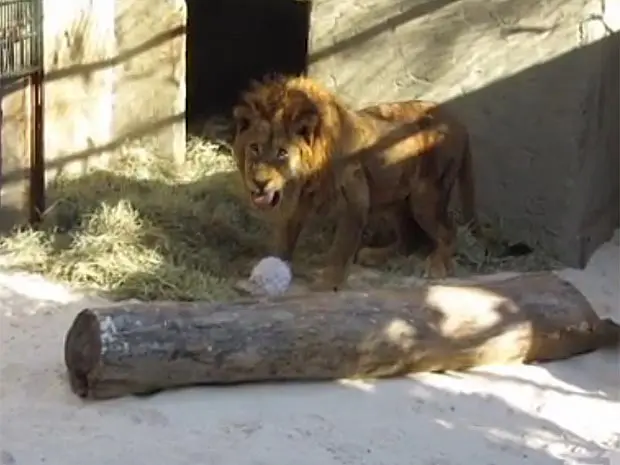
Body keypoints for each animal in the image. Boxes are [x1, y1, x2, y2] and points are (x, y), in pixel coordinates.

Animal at [230, 72, 492, 290]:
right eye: (254, 148)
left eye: (282, 153)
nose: (259, 182)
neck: (305, 176)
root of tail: (459, 123)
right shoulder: (298, 205)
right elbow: (284, 239)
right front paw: (271, 266)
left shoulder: (354, 199)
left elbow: (341, 247)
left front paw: (328, 282)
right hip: (396, 196)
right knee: (410, 240)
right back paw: (374, 255)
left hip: (425, 196)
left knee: (448, 232)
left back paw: (436, 266)